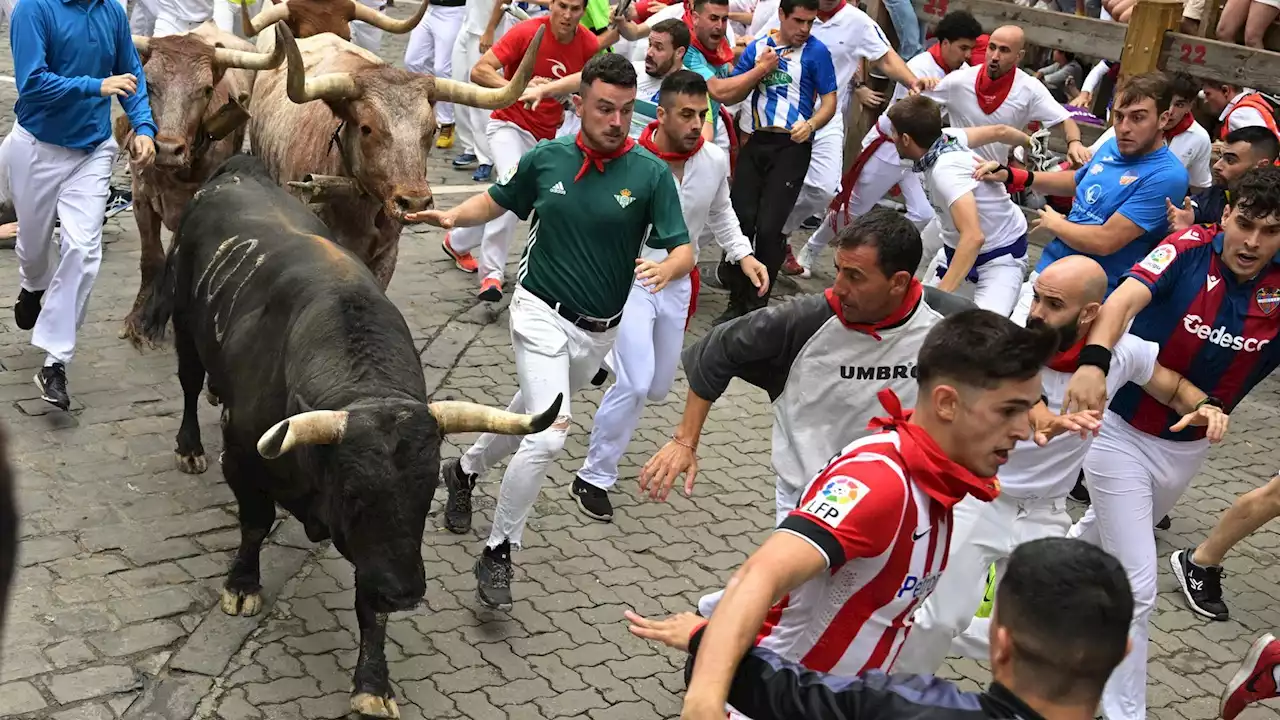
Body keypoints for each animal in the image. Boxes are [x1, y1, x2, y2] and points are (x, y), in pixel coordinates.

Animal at [115, 23, 285, 345]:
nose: (167, 149)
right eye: (149, 84)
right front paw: (137, 318)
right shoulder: (141, 197)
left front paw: (157, 315)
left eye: (205, 90)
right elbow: (150, 257)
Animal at [138, 154, 560, 712]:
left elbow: (368, 599)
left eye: (429, 492)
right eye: (355, 491)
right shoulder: (244, 459)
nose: (407, 593)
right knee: (188, 382)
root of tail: (238, 169)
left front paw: (373, 683)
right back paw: (189, 446)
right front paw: (242, 585)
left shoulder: (381, 551)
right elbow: (254, 524)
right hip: (185, 324)